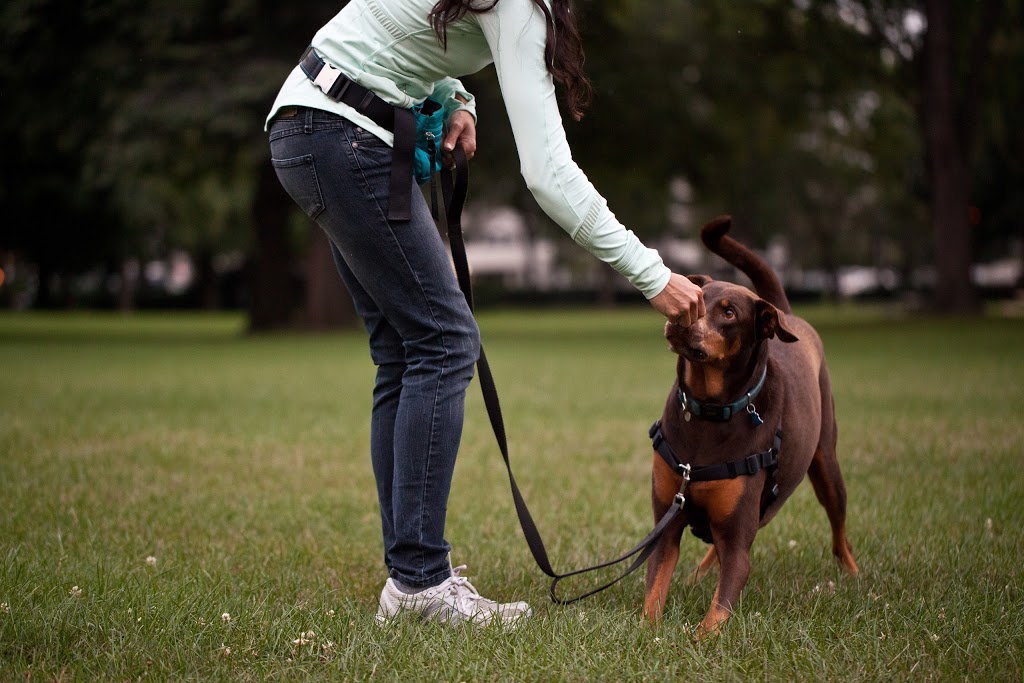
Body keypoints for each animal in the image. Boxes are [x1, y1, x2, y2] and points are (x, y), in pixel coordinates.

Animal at [647, 215, 856, 634]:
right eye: (694, 295)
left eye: (728, 313)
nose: (680, 319)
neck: (710, 410)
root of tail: (787, 313)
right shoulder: (666, 523)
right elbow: (653, 596)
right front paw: (647, 633)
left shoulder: (738, 544)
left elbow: (715, 615)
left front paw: (694, 640)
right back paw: (699, 574)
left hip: (826, 463)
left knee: (839, 528)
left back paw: (855, 576)